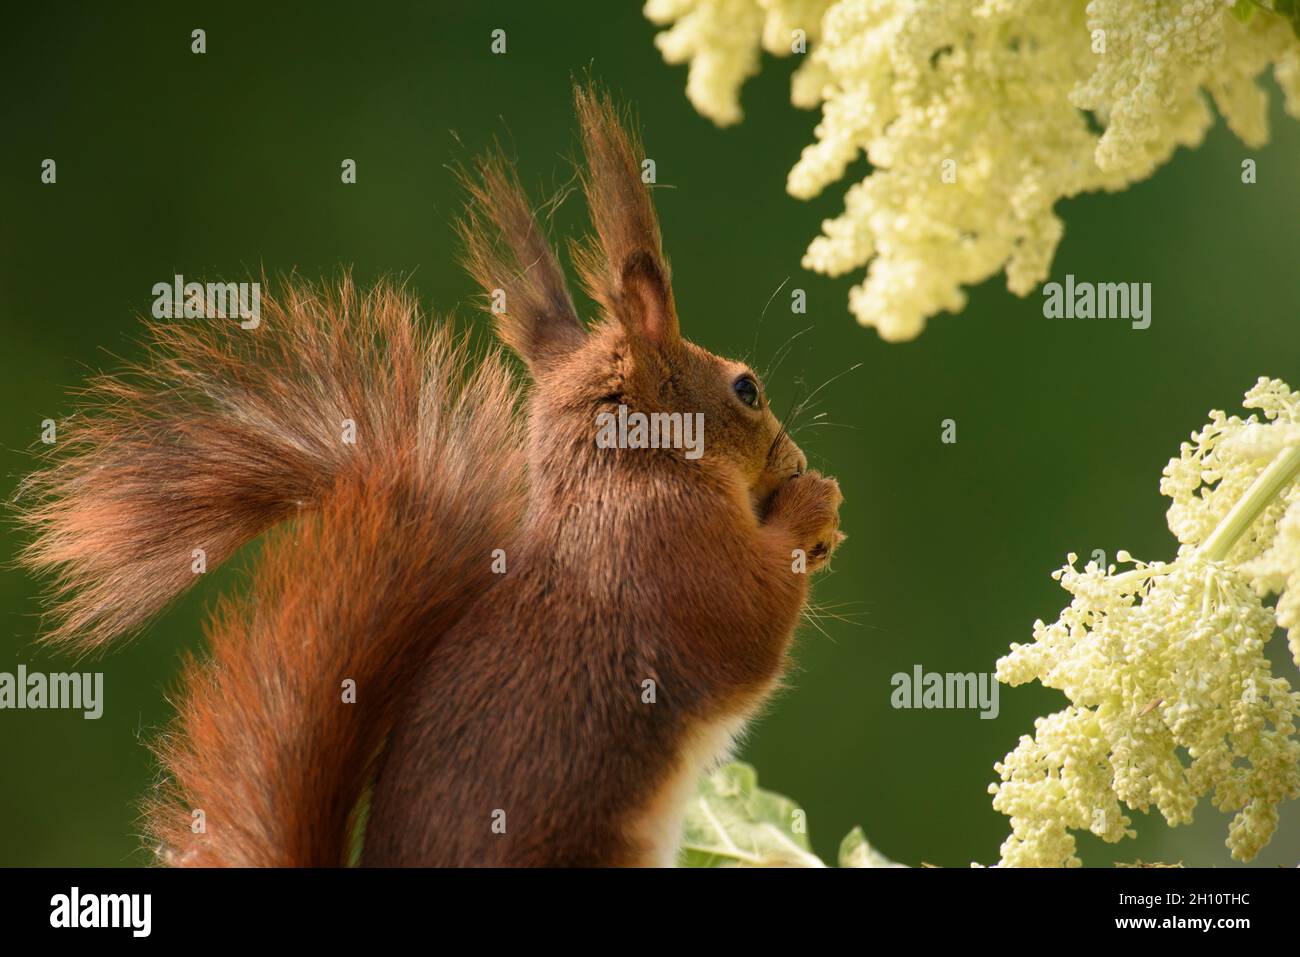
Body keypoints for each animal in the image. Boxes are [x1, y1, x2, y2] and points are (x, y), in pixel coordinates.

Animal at [17, 87, 842, 868]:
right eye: (747, 389)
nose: (795, 462)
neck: (619, 476)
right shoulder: (673, 555)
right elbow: (752, 626)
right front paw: (813, 505)